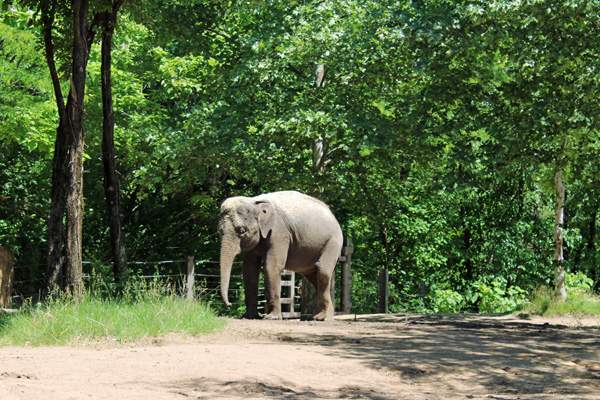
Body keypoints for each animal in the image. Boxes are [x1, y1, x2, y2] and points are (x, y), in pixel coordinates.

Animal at [219, 191, 342, 322]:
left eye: (242, 231)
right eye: (219, 231)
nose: (229, 305)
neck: (255, 202)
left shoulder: (280, 233)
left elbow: (271, 266)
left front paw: (271, 318)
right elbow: (249, 269)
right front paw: (249, 317)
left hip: (333, 243)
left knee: (322, 272)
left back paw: (320, 317)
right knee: (314, 277)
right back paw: (324, 318)